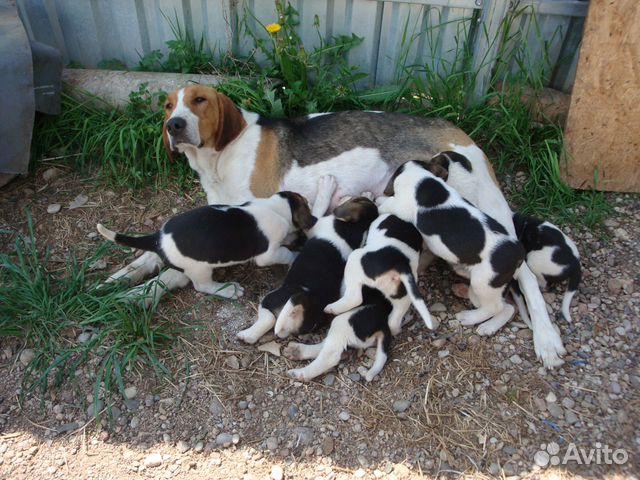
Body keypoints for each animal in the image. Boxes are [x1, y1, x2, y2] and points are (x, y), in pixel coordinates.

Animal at [236, 196, 380, 344]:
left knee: (269, 319)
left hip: (271, 298)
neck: (357, 227)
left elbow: (318, 208)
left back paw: (246, 335)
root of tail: (307, 306)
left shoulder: (313, 224)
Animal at [378, 156, 524, 336]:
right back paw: (488, 326)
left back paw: (470, 317)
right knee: (507, 308)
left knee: (494, 307)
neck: (421, 178)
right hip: (487, 288)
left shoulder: (398, 206)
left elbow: (384, 204)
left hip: (484, 284)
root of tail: (519, 254)